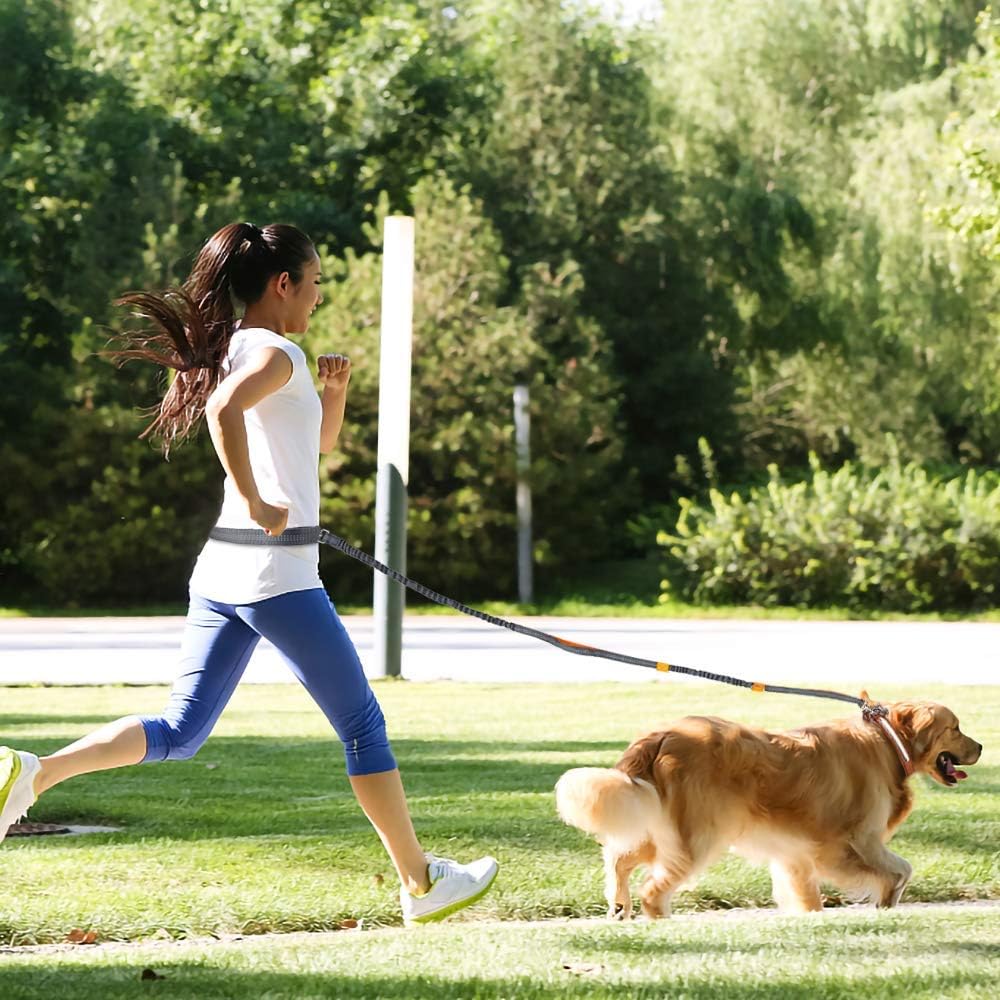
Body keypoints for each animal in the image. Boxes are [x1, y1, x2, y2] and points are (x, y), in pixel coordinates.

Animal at [560, 700, 980, 916]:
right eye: (956, 728)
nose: (981, 747)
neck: (888, 741)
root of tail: (662, 734)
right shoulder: (853, 843)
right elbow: (901, 869)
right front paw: (887, 902)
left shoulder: (797, 852)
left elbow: (808, 895)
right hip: (697, 837)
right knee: (653, 890)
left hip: (665, 827)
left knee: (618, 857)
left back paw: (619, 903)